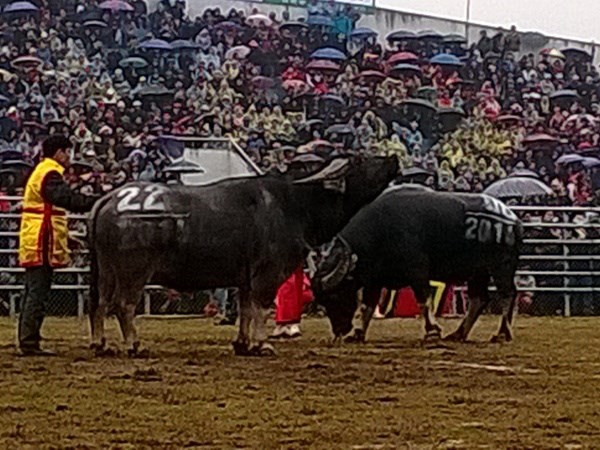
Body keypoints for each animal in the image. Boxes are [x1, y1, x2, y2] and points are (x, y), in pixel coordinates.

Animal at [88, 156, 398, 356]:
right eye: (358, 162)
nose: (393, 157)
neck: (294, 204)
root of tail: (110, 199)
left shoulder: (245, 279)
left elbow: (246, 310)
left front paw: (242, 344)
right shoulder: (268, 273)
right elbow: (262, 307)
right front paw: (262, 345)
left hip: (106, 271)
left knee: (100, 304)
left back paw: (101, 345)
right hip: (134, 272)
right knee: (123, 305)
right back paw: (134, 345)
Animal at [312, 185, 524, 342]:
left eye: (335, 295)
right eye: (322, 301)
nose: (339, 330)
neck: (379, 231)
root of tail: (513, 220)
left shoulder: (418, 271)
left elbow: (423, 300)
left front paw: (432, 331)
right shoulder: (374, 280)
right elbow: (368, 306)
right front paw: (358, 334)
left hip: (501, 267)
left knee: (508, 294)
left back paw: (502, 334)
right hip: (477, 272)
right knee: (478, 299)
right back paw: (458, 334)